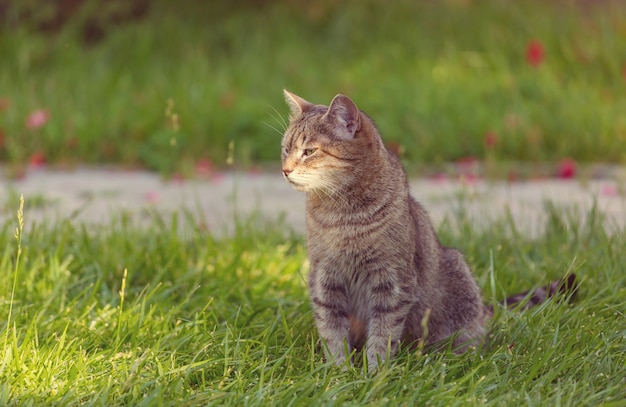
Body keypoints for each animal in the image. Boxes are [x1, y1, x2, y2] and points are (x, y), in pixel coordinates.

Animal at [280, 91, 576, 372]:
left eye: (309, 151)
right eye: (285, 149)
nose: (284, 170)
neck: (341, 214)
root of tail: (484, 309)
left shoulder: (393, 282)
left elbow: (383, 334)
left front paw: (374, 374)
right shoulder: (324, 279)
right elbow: (332, 331)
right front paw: (338, 371)